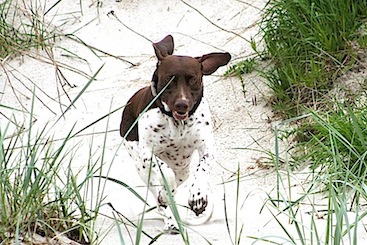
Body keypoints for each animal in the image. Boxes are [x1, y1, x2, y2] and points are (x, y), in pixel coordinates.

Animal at [120, 35, 230, 234]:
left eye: (193, 79)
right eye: (169, 79)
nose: (182, 104)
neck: (177, 123)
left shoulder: (207, 148)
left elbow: (202, 168)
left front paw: (198, 195)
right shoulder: (147, 153)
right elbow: (164, 174)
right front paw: (166, 190)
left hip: (183, 169)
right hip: (141, 165)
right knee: (159, 194)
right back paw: (170, 219)